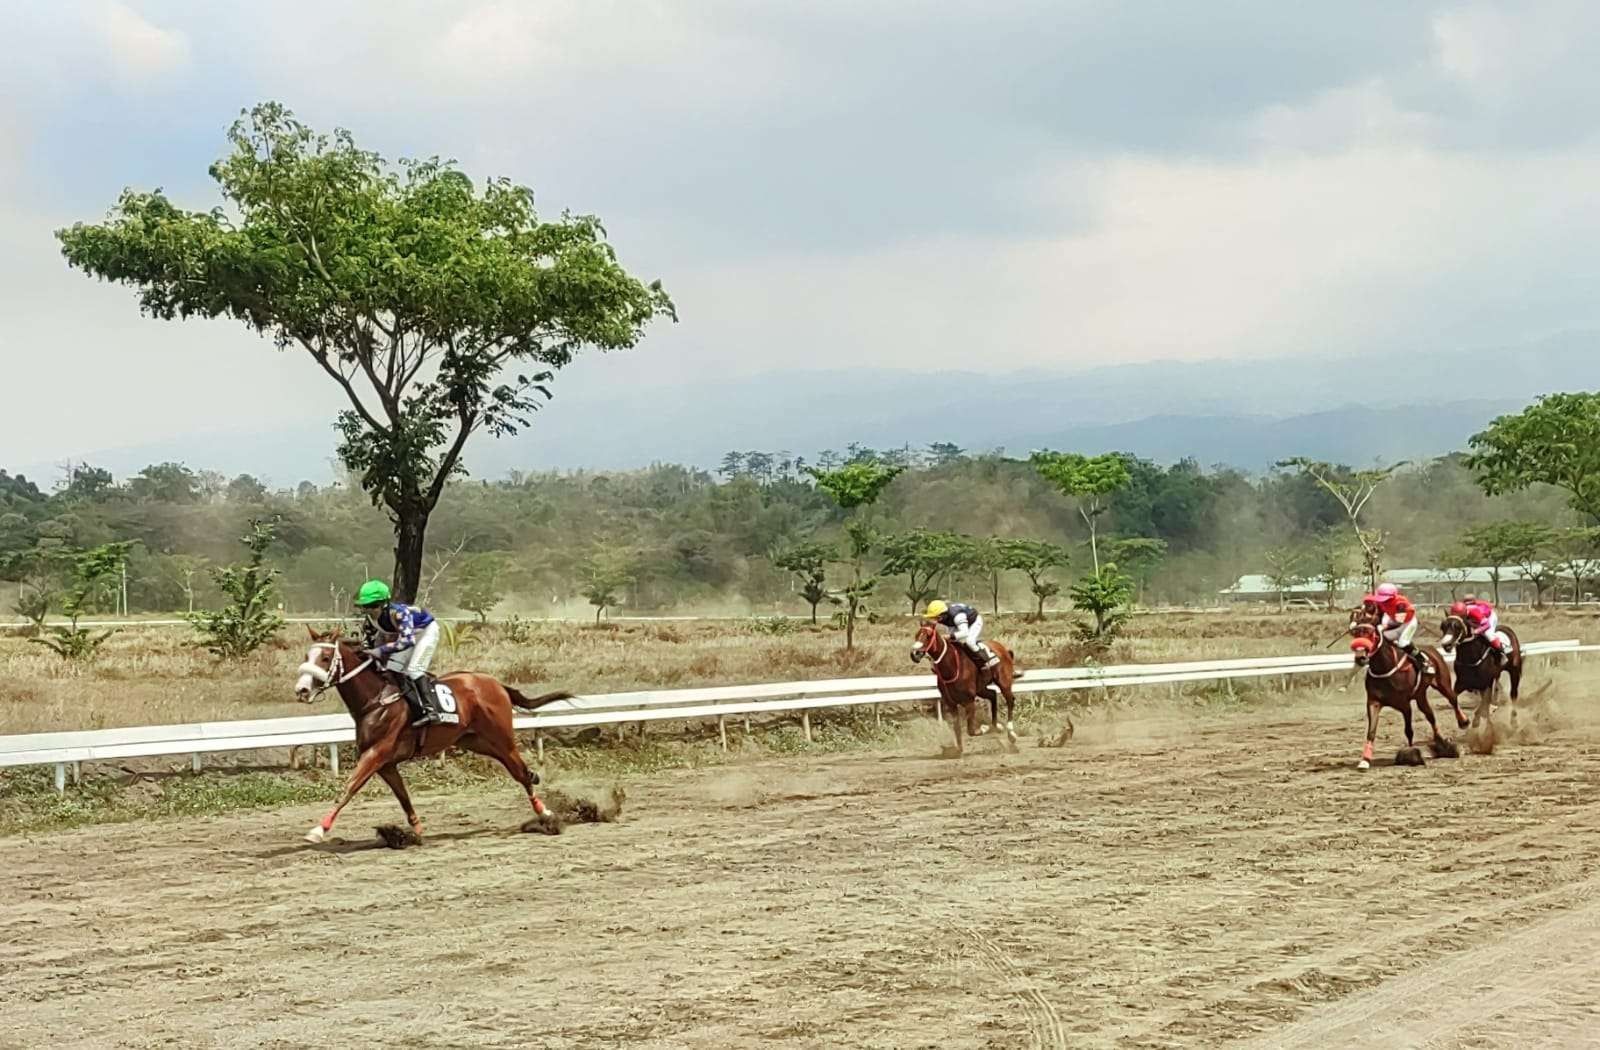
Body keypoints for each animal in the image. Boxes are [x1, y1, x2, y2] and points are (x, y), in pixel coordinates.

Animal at [294, 624, 576, 845]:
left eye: (325, 657)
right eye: (308, 655)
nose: (301, 690)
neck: (376, 699)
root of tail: (495, 683)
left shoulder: (375, 754)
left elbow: (348, 788)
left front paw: (318, 830)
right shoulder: (386, 764)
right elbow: (403, 797)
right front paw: (413, 832)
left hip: (501, 739)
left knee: (521, 773)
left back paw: (546, 816)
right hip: (477, 742)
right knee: (523, 772)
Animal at [908, 617, 1017, 758]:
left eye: (928, 636)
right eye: (916, 635)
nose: (914, 654)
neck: (951, 666)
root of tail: (1003, 649)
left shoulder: (969, 701)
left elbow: (971, 730)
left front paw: (984, 728)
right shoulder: (951, 703)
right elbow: (957, 728)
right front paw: (958, 751)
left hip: (1004, 682)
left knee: (1010, 701)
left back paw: (1011, 733)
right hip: (981, 688)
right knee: (993, 695)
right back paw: (996, 726)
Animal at [1350, 624, 1465, 771]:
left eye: (1371, 635)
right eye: (1355, 634)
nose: (1360, 658)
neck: (1384, 668)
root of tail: (1432, 649)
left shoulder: (1405, 705)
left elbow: (1408, 731)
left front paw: (1412, 755)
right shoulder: (1373, 702)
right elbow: (1371, 732)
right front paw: (1364, 761)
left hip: (1443, 684)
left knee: (1453, 700)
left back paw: (1463, 722)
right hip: (1421, 696)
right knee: (1430, 715)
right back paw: (1441, 743)